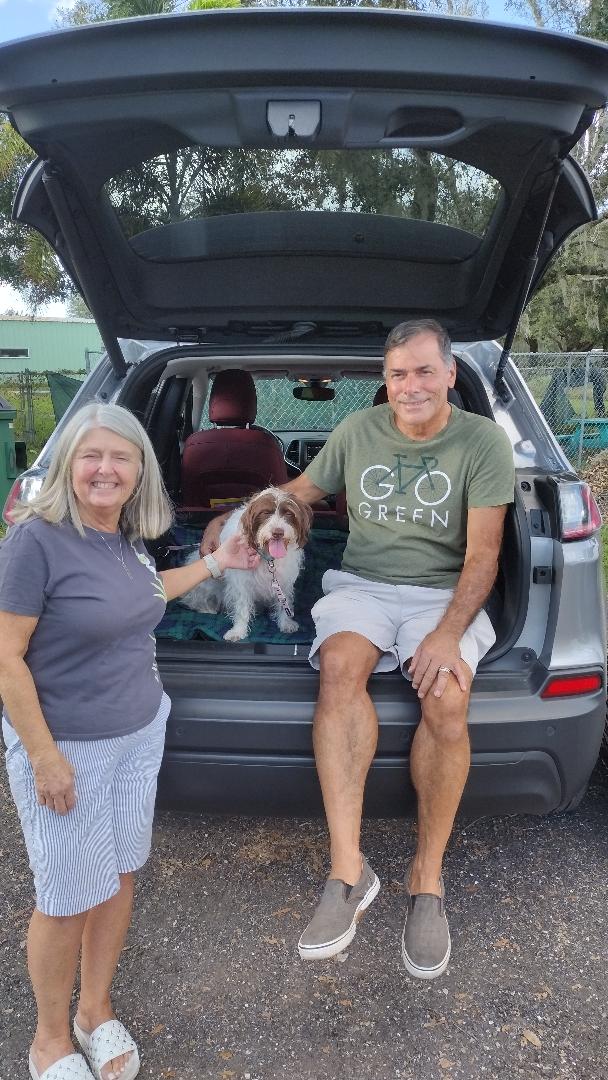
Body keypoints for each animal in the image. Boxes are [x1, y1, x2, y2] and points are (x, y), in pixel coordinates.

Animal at [180, 488, 313, 639]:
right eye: (265, 513)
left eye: (289, 513)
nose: (277, 532)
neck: (268, 558)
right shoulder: (241, 583)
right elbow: (242, 607)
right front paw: (238, 630)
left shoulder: (283, 581)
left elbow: (283, 603)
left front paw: (285, 623)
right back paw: (206, 608)